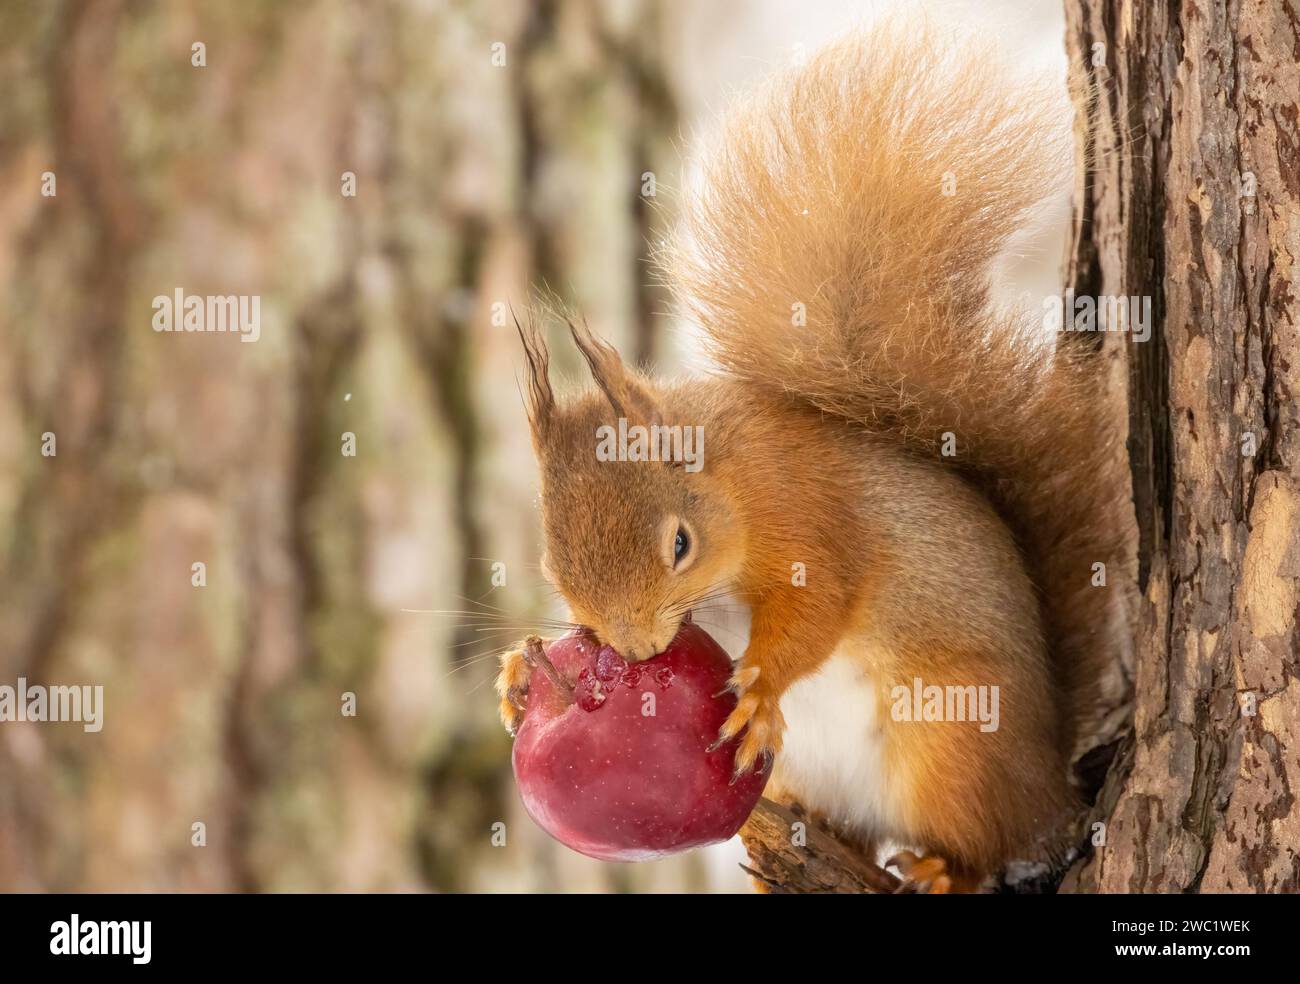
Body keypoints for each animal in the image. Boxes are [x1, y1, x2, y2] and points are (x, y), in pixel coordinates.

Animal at [493, 19, 1128, 889]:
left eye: (680, 545)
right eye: (552, 565)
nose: (634, 650)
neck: (730, 477)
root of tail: (1051, 785)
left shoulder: (810, 515)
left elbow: (818, 607)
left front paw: (760, 690)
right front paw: (518, 676)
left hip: (952, 746)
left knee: (993, 840)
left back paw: (945, 868)